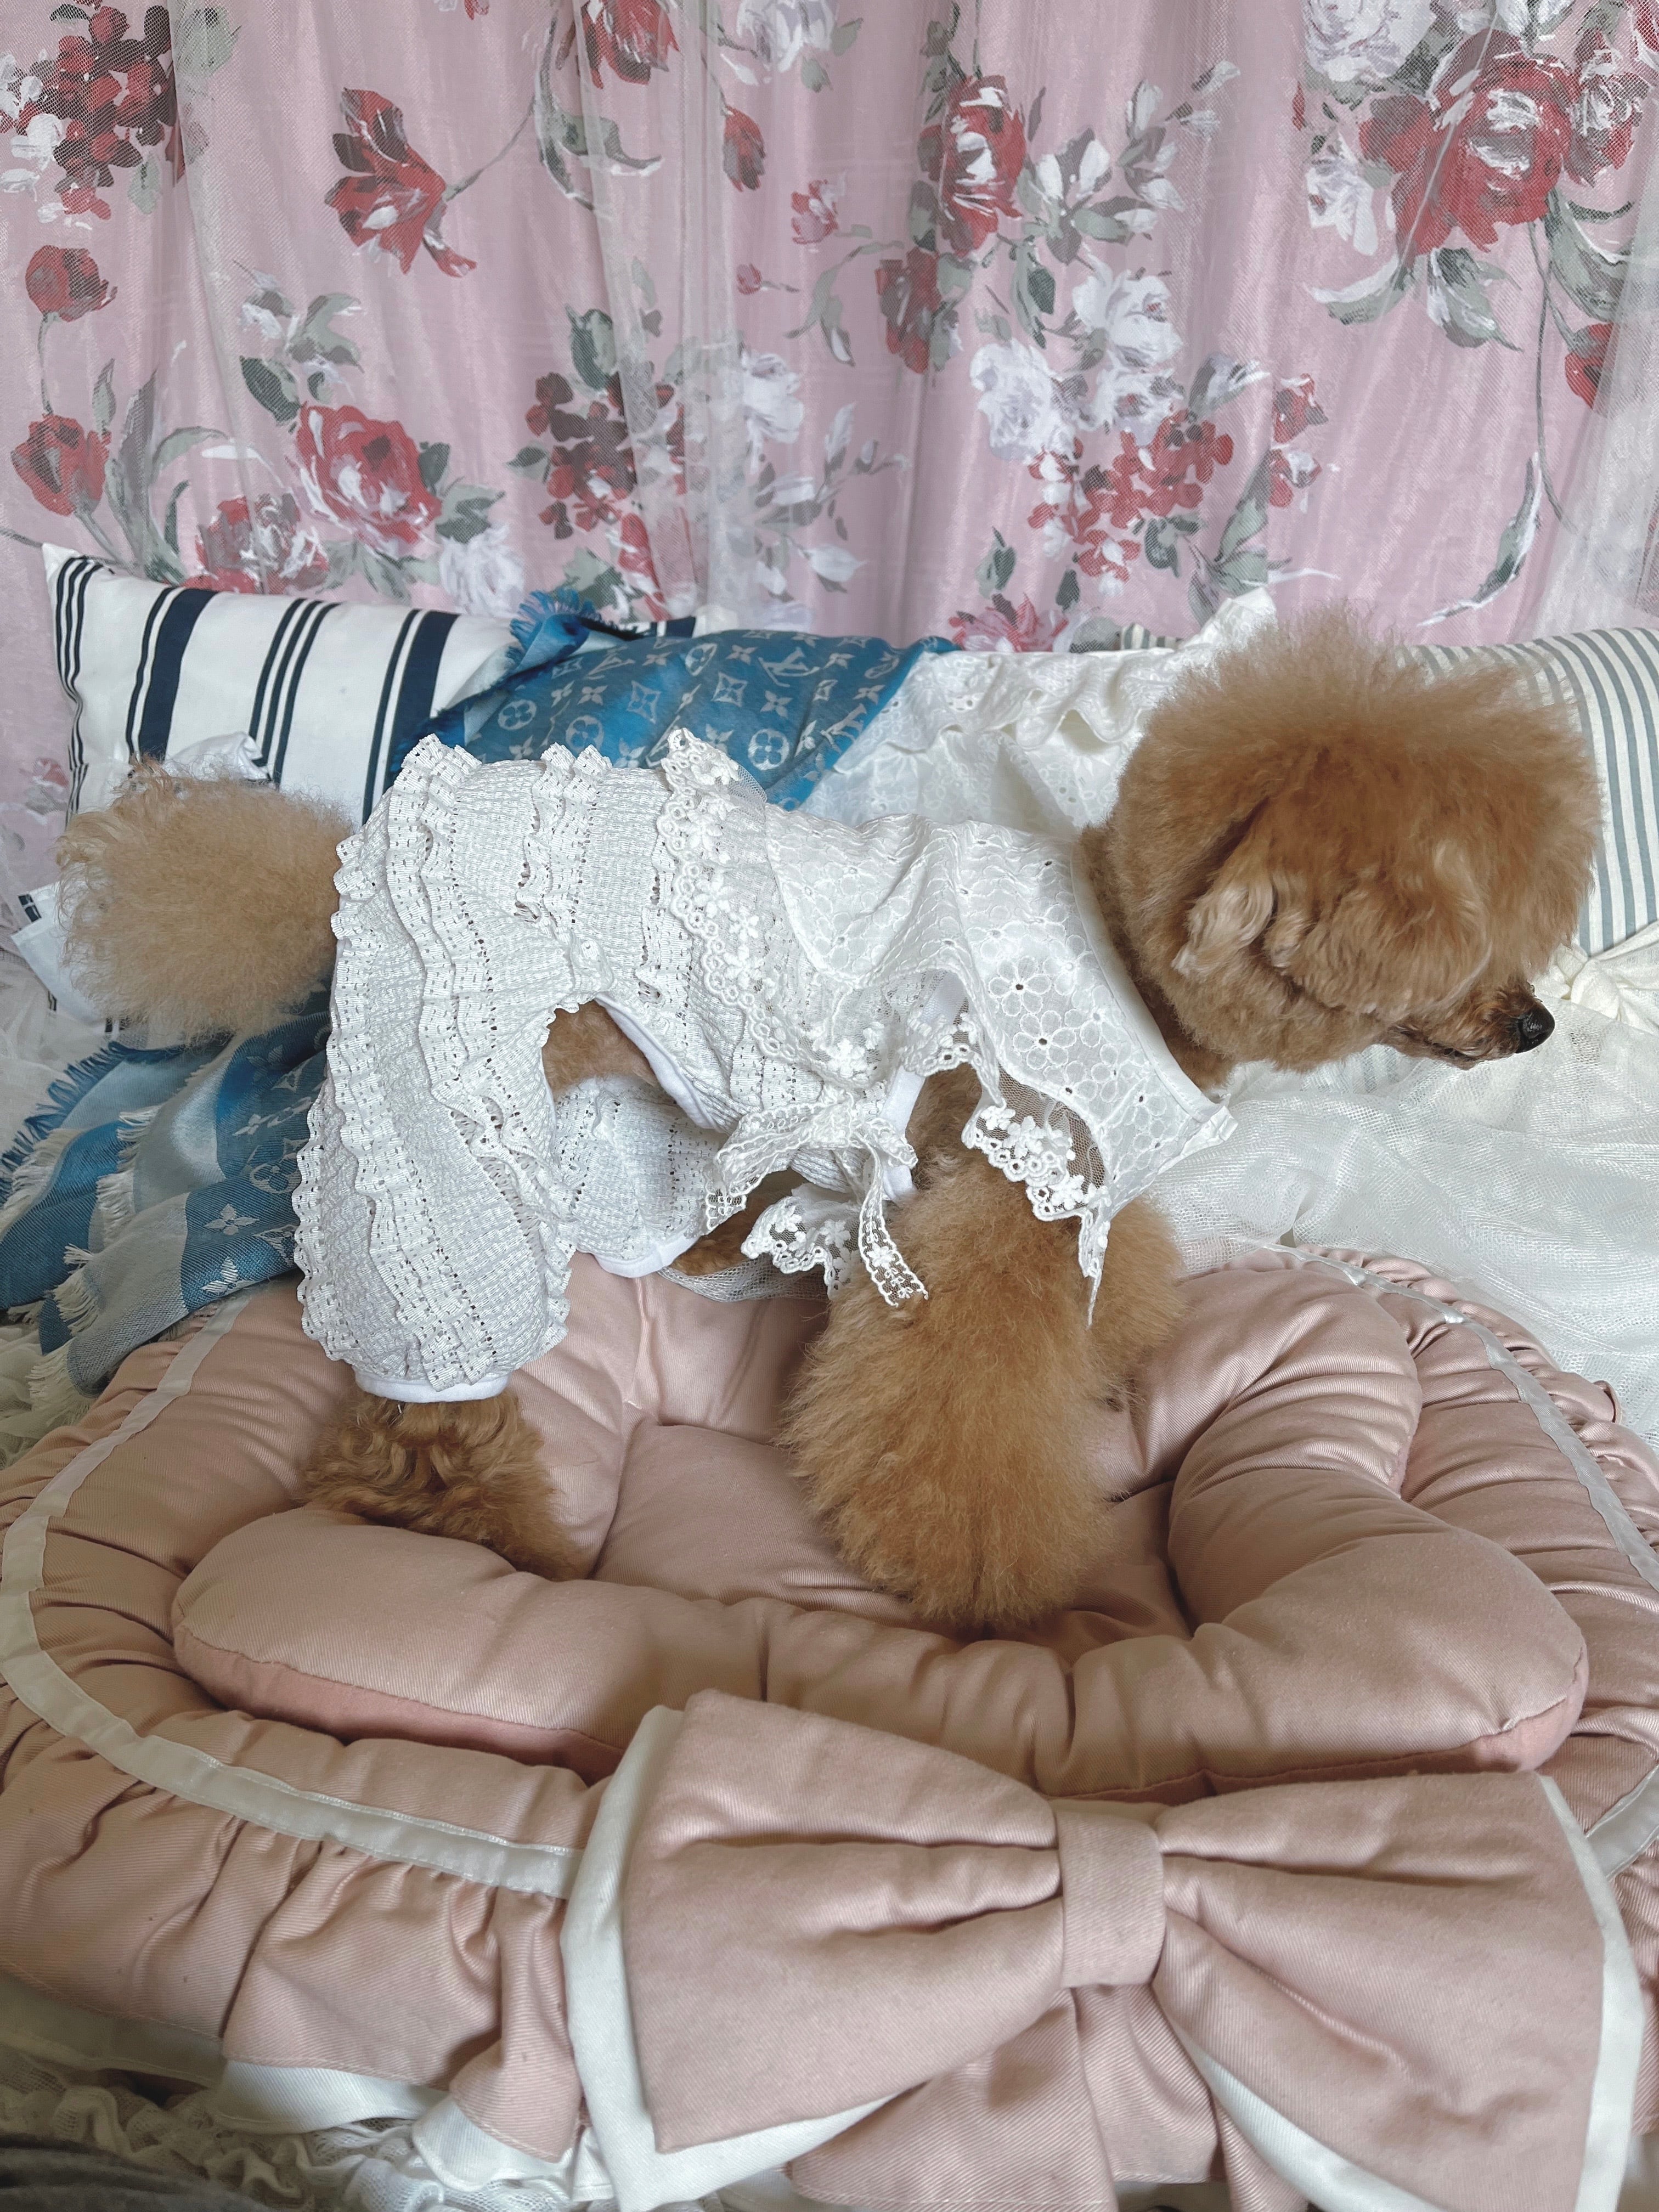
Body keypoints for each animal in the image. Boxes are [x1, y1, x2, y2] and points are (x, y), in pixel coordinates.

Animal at [56, 609, 1598, 1630]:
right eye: (1456, 937)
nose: (1538, 1026)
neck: (1127, 956)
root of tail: (348, 857)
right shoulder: (1010, 1188)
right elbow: (957, 1419)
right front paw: (1002, 1588)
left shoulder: (1058, 1187)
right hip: (432, 1130)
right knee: (417, 1407)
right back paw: (493, 1539)